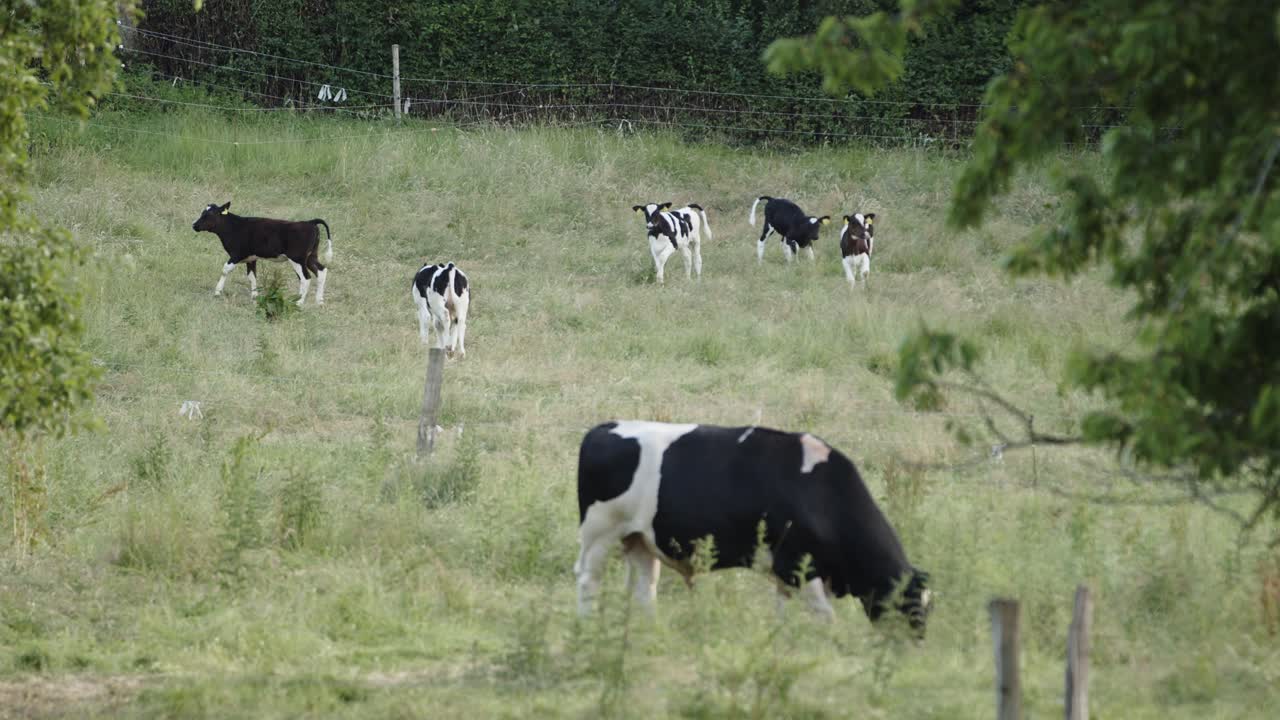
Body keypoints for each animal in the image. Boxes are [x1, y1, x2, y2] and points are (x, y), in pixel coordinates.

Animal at [192, 202, 333, 306]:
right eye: (202, 213)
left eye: (209, 214)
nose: (194, 225)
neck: (233, 227)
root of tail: (309, 222)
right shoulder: (251, 258)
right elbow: (252, 276)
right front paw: (254, 297)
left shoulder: (237, 254)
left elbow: (225, 269)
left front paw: (217, 292)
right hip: (311, 256)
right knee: (321, 271)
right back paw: (319, 301)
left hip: (297, 259)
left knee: (305, 278)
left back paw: (299, 302)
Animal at [574, 420, 933, 636]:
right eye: (912, 605)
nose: (914, 649)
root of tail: (604, 427)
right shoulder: (797, 566)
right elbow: (824, 617)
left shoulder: (786, 575)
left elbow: (783, 612)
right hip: (599, 533)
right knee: (588, 579)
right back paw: (586, 625)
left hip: (640, 539)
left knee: (645, 588)